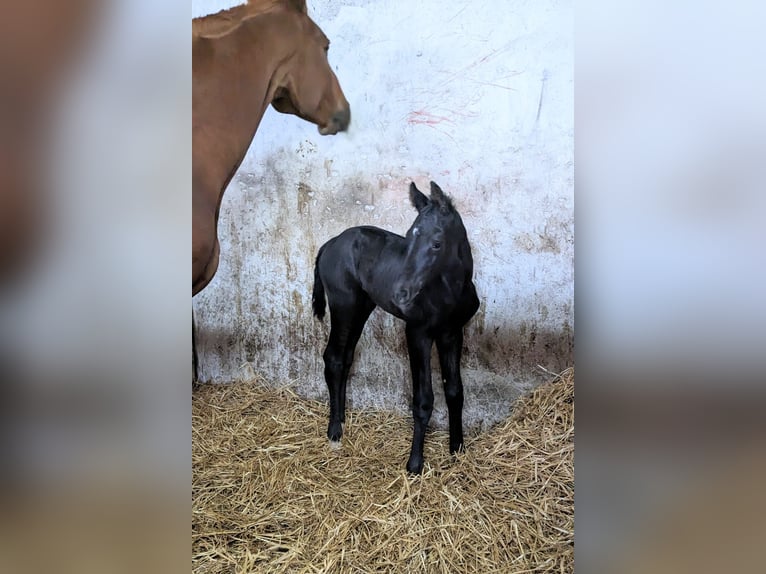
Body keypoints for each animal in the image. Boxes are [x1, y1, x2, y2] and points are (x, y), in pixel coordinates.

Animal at [312, 182, 480, 474]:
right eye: (408, 240)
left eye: (436, 243)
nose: (401, 294)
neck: (450, 292)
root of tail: (330, 243)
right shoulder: (417, 333)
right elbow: (423, 399)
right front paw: (414, 464)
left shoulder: (451, 333)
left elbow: (454, 391)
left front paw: (457, 448)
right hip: (344, 305)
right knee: (333, 357)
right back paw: (334, 431)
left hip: (362, 307)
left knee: (345, 358)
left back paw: (342, 416)